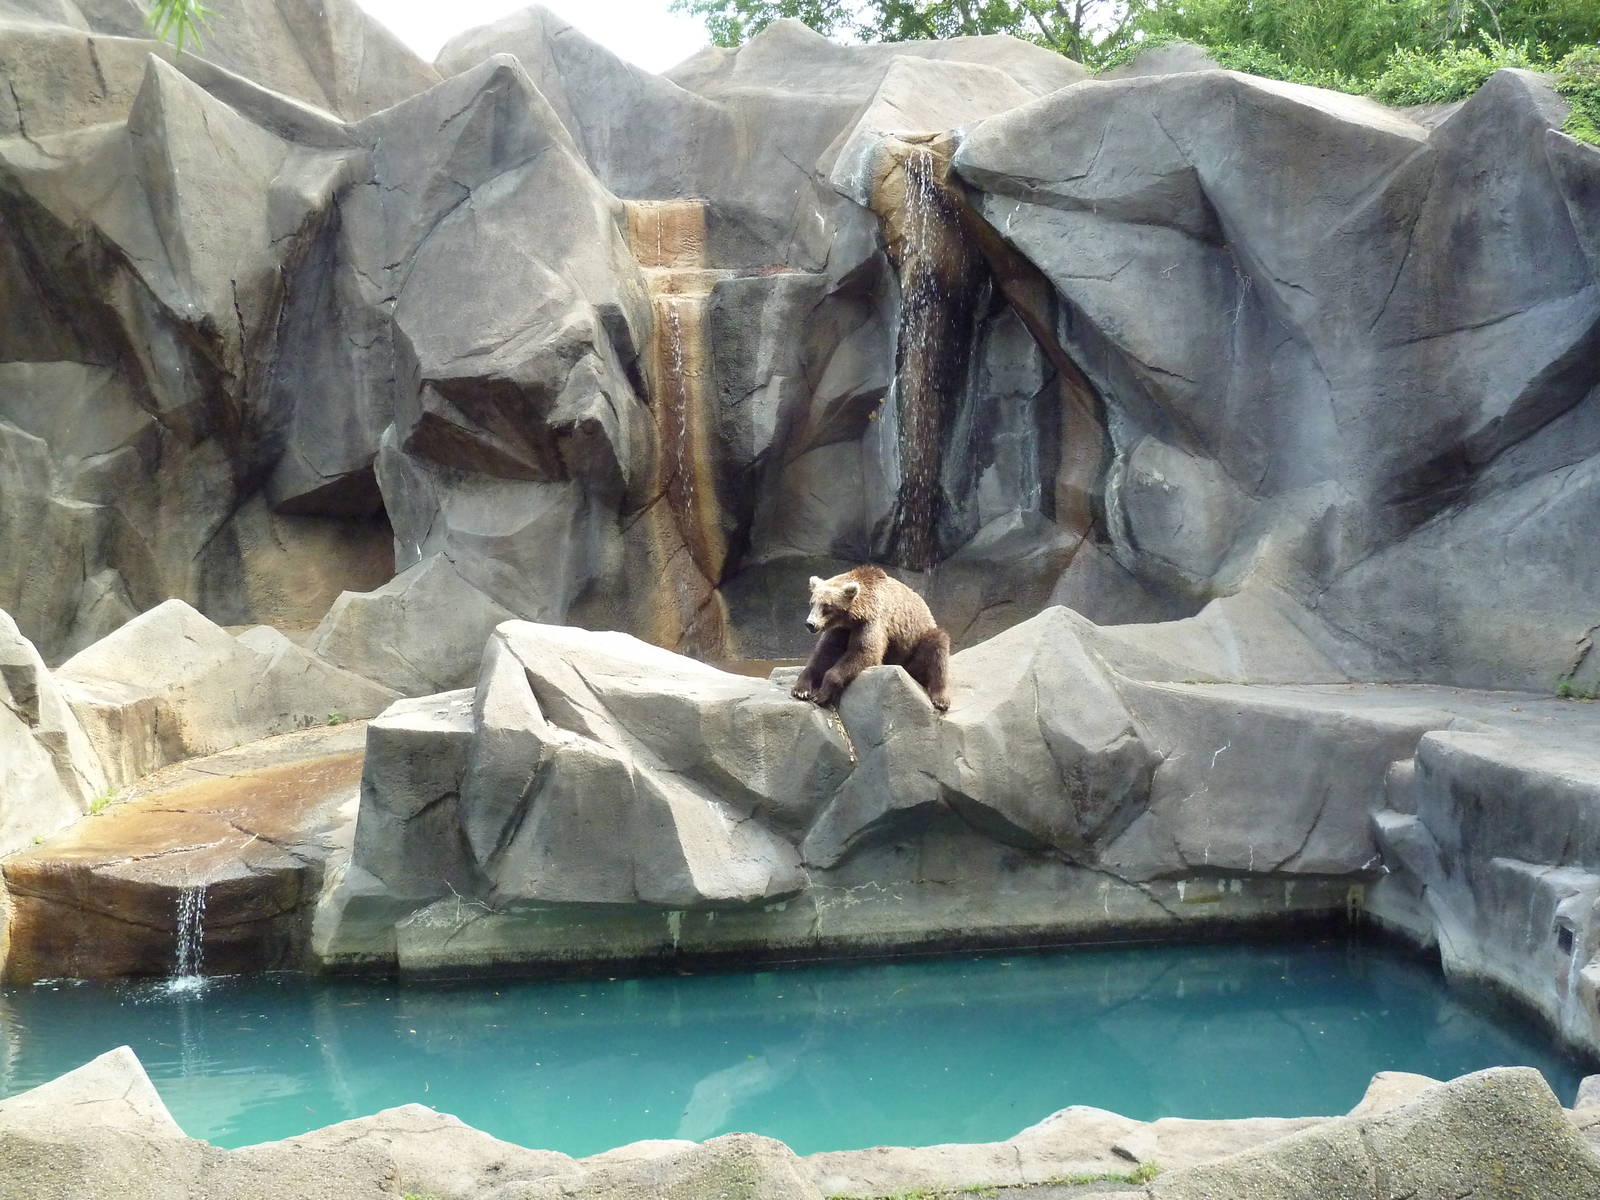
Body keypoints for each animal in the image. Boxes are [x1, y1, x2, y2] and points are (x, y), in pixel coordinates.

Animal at [790, 565, 952, 712]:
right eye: (812, 603)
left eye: (827, 606)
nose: (810, 624)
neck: (854, 617)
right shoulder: (841, 630)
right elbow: (825, 652)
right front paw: (801, 689)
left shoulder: (872, 622)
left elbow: (864, 652)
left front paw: (821, 694)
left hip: (918, 644)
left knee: (938, 647)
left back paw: (940, 699)